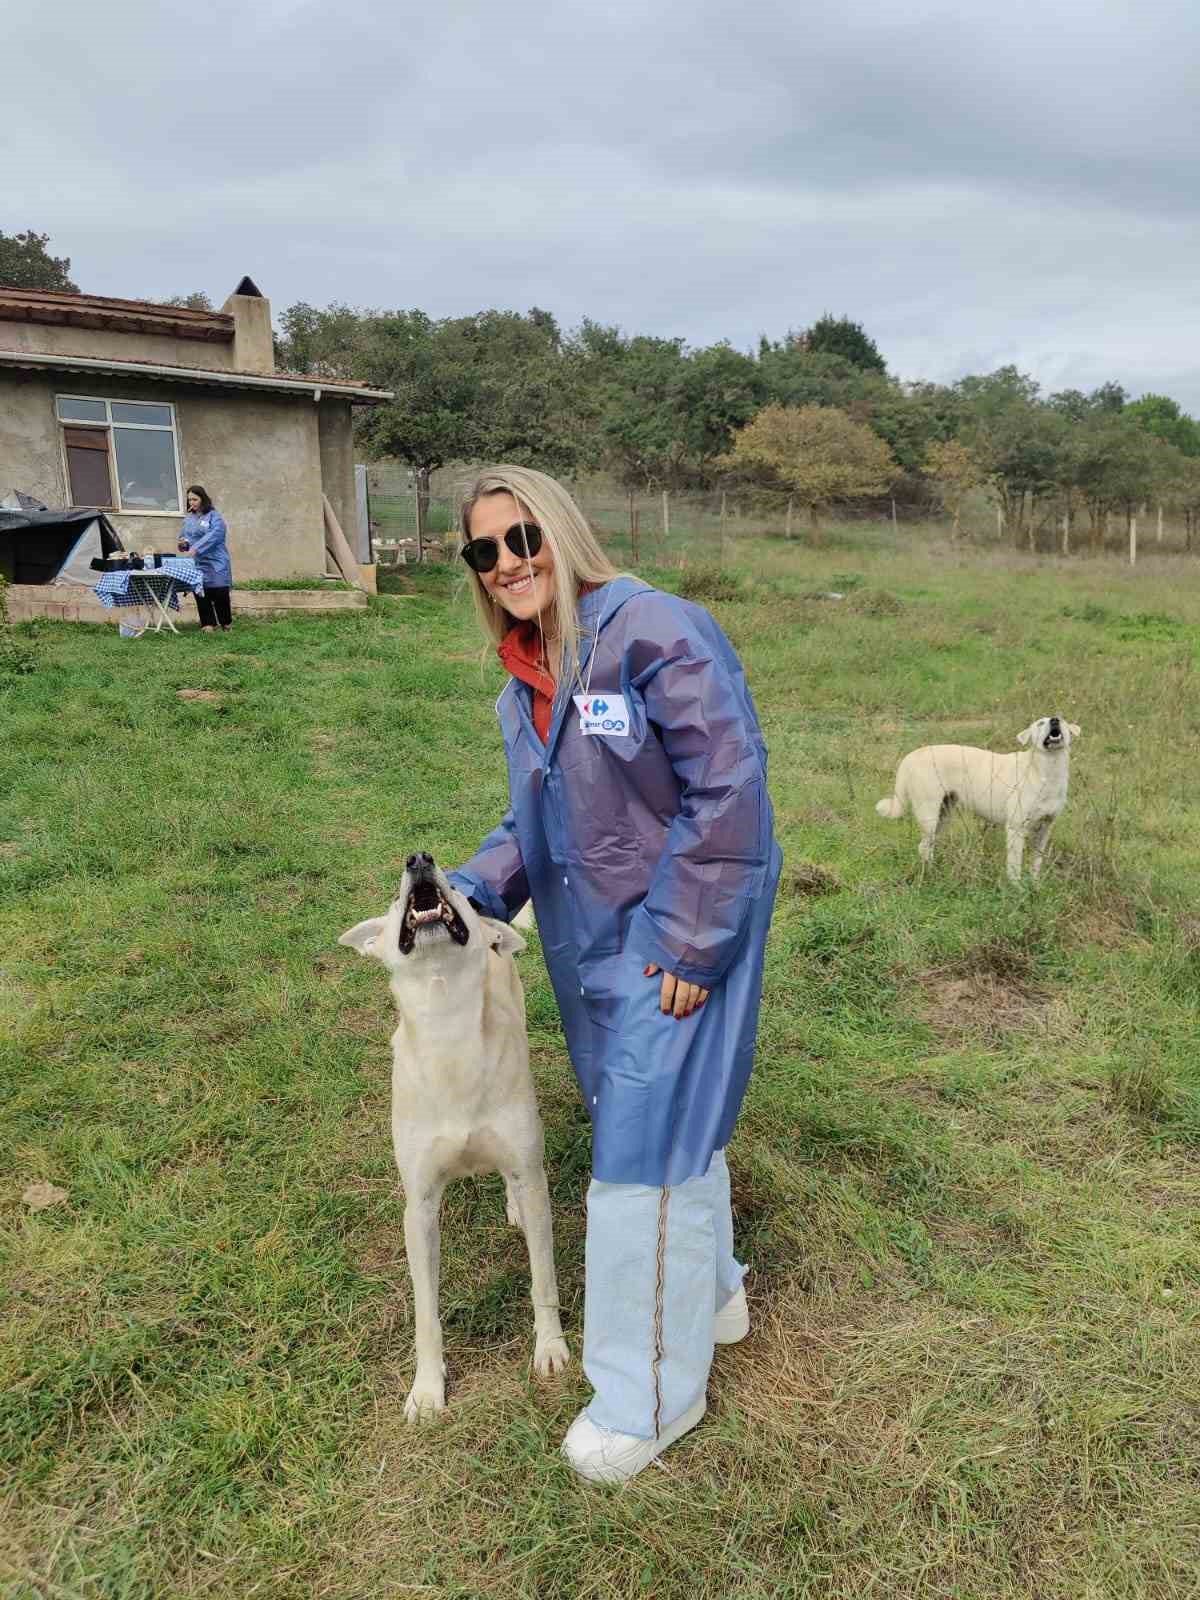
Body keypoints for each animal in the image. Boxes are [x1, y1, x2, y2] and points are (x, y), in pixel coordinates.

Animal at [340, 851, 569, 1414]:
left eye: (460, 897)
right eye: (394, 898)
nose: (420, 860)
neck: (448, 1026)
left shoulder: (530, 1173)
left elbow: (543, 1280)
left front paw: (550, 1348)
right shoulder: (419, 1207)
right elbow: (426, 1314)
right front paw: (426, 1391)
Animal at [876, 720, 1088, 883]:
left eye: (1061, 719)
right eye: (1040, 723)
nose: (1054, 720)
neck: (1046, 771)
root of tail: (911, 756)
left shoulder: (1044, 828)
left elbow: (1036, 862)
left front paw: (1034, 886)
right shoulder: (1015, 829)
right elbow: (1014, 865)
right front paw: (1016, 889)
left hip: (943, 815)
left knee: (926, 847)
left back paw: (935, 871)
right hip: (929, 815)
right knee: (923, 846)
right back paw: (929, 874)